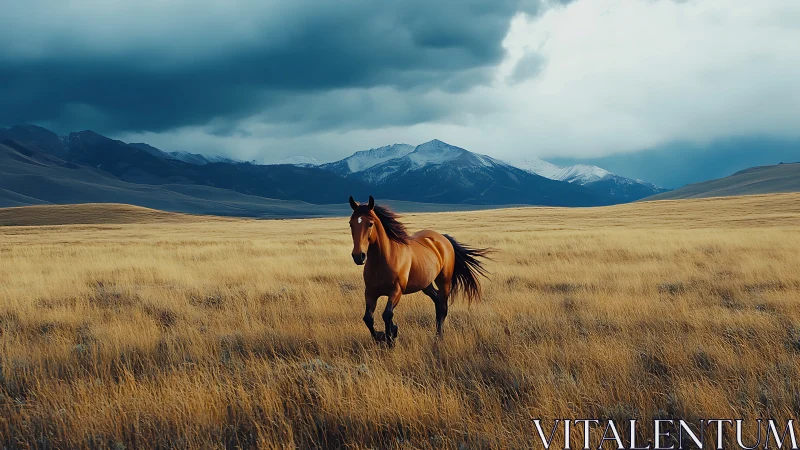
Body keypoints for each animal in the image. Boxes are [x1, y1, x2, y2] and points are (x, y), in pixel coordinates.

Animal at [348, 195, 490, 344]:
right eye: (351, 224)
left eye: (370, 224)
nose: (358, 256)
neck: (384, 259)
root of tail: (443, 238)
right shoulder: (370, 292)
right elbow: (368, 318)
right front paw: (385, 335)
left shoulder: (396, 291)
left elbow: (387, 314)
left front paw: (390, 338)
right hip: (425, 284)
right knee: (437, 300)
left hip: (444, 281)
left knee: (442, 307)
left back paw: (438, 337)